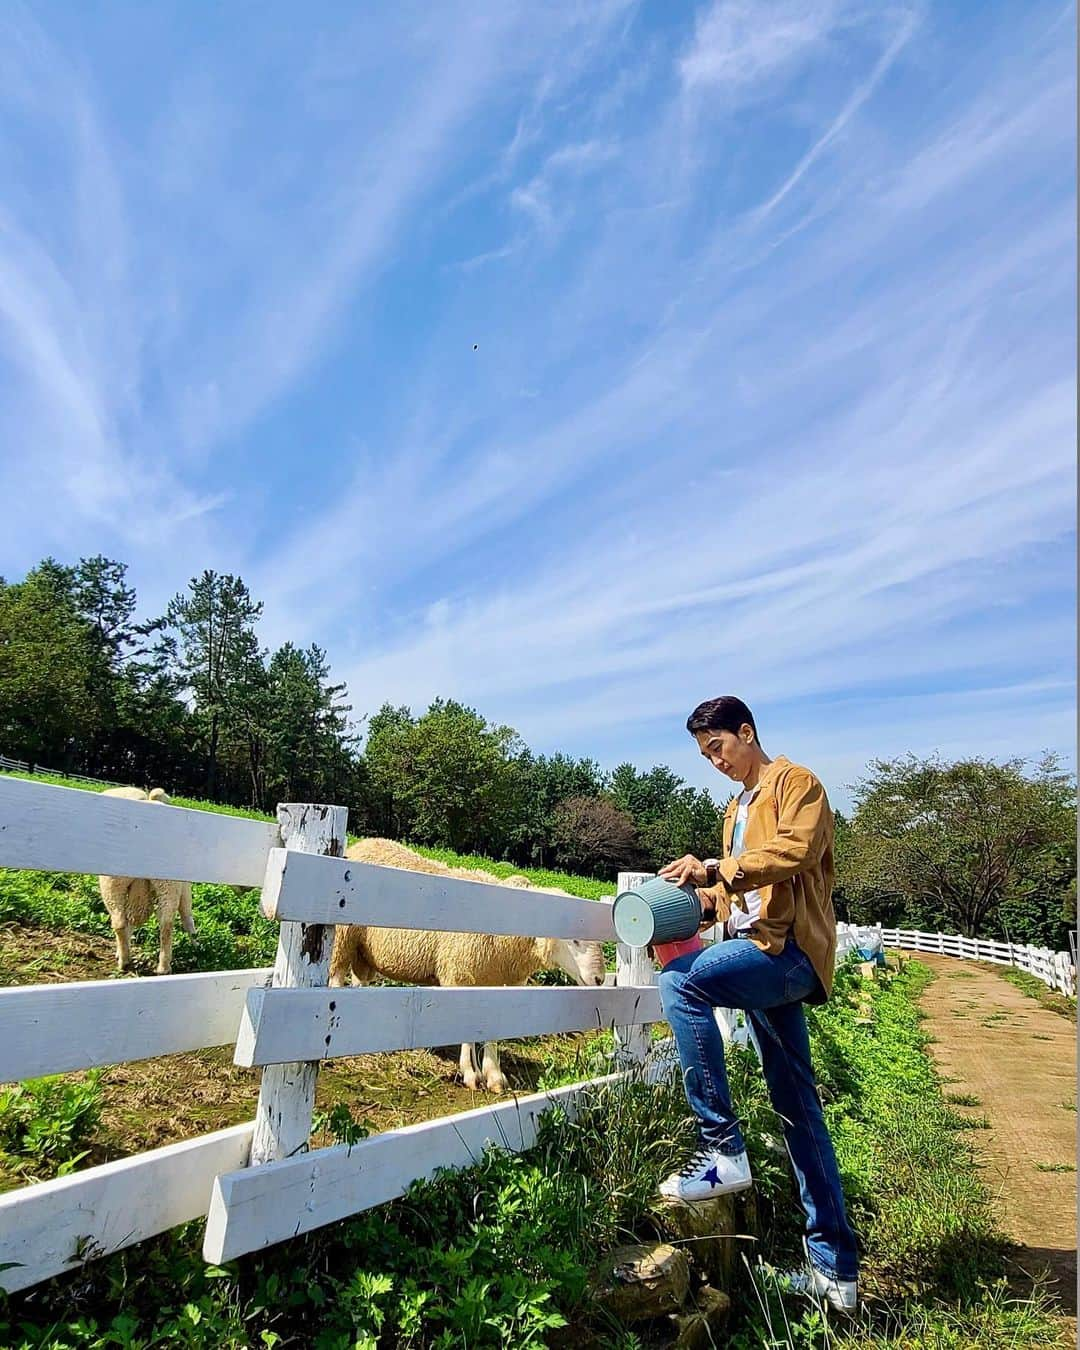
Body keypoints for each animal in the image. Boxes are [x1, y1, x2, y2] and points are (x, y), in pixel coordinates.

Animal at [97, 788, 195, 977]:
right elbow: (186, 914)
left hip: (114, 883)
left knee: (121, 920)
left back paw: (127, 962)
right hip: (162, 884)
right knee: (163, 923)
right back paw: (160, 966)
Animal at [326, 837, 607, 1090]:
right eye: (575, 940)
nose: (599, 979)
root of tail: (363, 843)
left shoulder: (498, 984)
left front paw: (493, 1076)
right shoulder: (459, 974)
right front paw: (471, 1074)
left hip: (364, 952)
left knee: (360, 985)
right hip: (343, 939)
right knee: (337, 978)